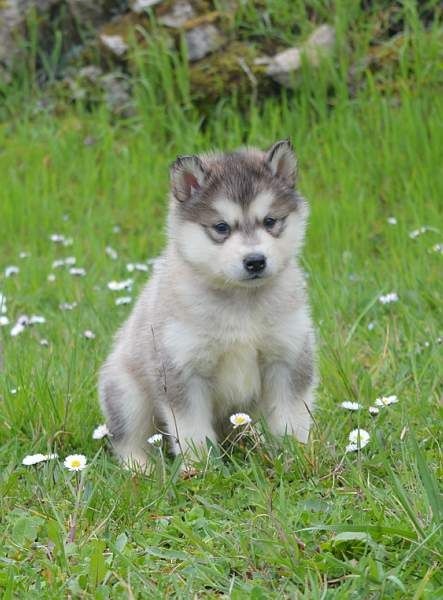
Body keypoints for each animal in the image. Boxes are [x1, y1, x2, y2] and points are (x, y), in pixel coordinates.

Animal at [99, 141, 316, 468]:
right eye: (221, 227)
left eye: (270, 221)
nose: (255, 261)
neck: (241, 303)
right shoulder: (183, 370)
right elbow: (192, 431)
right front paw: (201, 468)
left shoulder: (288, 357)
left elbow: (292, 417)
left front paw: (297, 456)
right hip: (126, 393)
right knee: (127, 440)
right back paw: (142, 468)